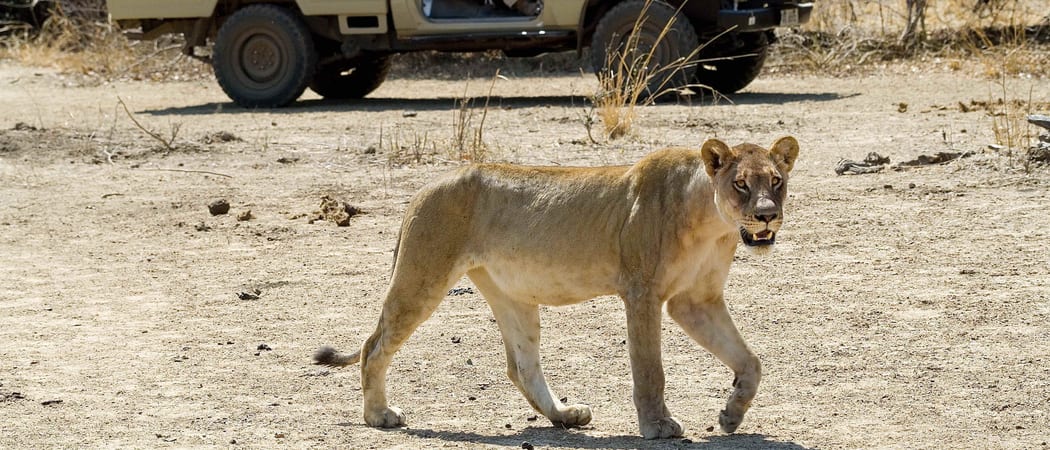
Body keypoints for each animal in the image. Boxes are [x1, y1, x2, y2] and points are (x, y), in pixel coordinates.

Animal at [314, 136, 800, 439]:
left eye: (776, 181)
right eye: (741, 184)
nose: (766, 215)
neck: (712, 224)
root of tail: (427, 185)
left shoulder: (694, 301)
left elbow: (750, 361)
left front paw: (731, 415)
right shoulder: (642, 293)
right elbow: (650, 370)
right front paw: (658, 426)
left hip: (511, 295)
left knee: (521, 366)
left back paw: (566, 416)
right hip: (422, 274)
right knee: (374, 345)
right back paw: (379, 415)